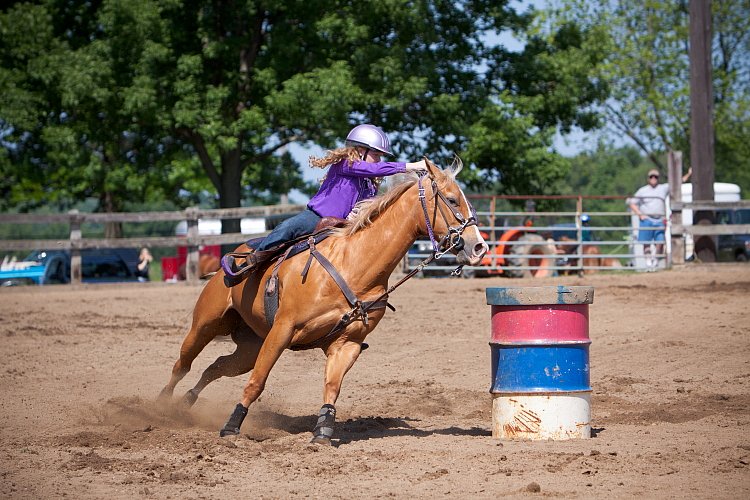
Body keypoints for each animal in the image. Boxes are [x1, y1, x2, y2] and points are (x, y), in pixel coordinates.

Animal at [156, 158, 490, 444]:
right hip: (205, 325)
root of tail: (226, 262)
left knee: (215, 368)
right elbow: (257, 382)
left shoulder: (346, 343)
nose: (479, 247)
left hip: (250, 345)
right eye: (452, 199)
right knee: (182, 364)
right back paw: (161, 404)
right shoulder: (282, 330)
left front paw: (323, 431)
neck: (354, 265)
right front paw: (231, 427)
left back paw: (186, 403)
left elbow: (332, 387)